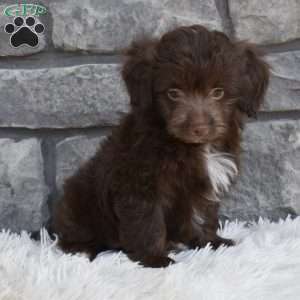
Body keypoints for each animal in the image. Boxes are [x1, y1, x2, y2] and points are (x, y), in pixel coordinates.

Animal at [51, 25, 270, 268]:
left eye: (218, 92)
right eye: (173, 93)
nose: (199, 128)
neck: (192, 147)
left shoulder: (207, 181)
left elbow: (203, 214)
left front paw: (211, 242)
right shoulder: (140, 184)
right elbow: (148, 222)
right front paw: (154, 259)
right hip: (80, 201)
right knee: (75, 234)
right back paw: (81, 250)